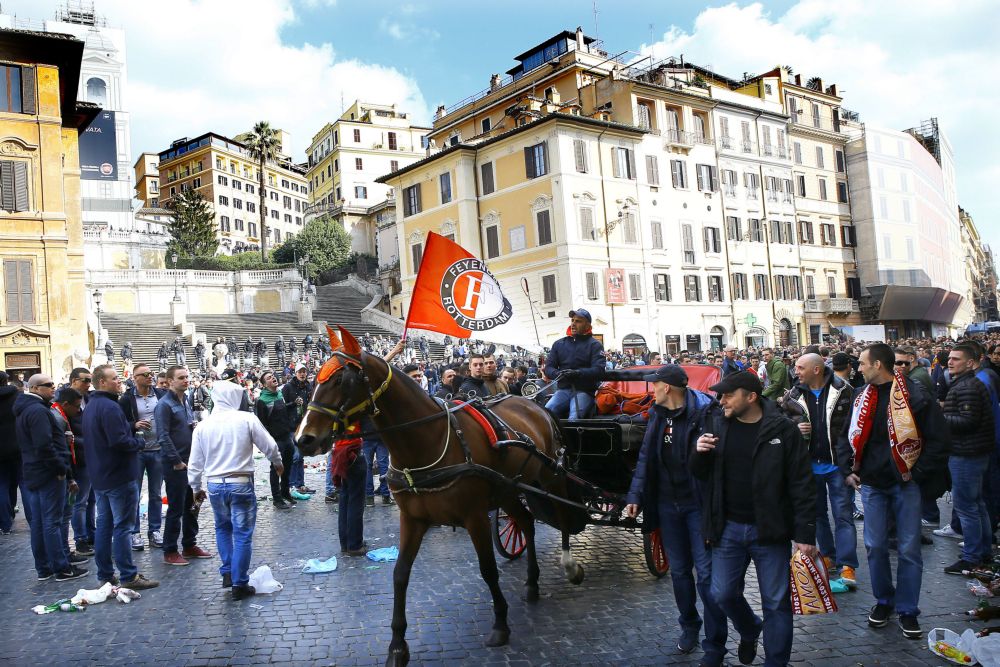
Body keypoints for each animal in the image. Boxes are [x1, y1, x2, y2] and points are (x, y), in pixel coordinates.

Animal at [292, 326, 584, 664]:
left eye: (342, 380)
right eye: (316, 379)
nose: (303, 439)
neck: (424, 442)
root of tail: (535, 403)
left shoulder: (474, 517)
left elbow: (488, 570)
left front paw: (500, 623)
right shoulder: (413, 519)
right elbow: (400, 574)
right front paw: (397, 645)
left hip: (551, 477)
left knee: (562, 515)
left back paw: (569, 565)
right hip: (509, 488)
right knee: (525, 522)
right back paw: (532, 582)